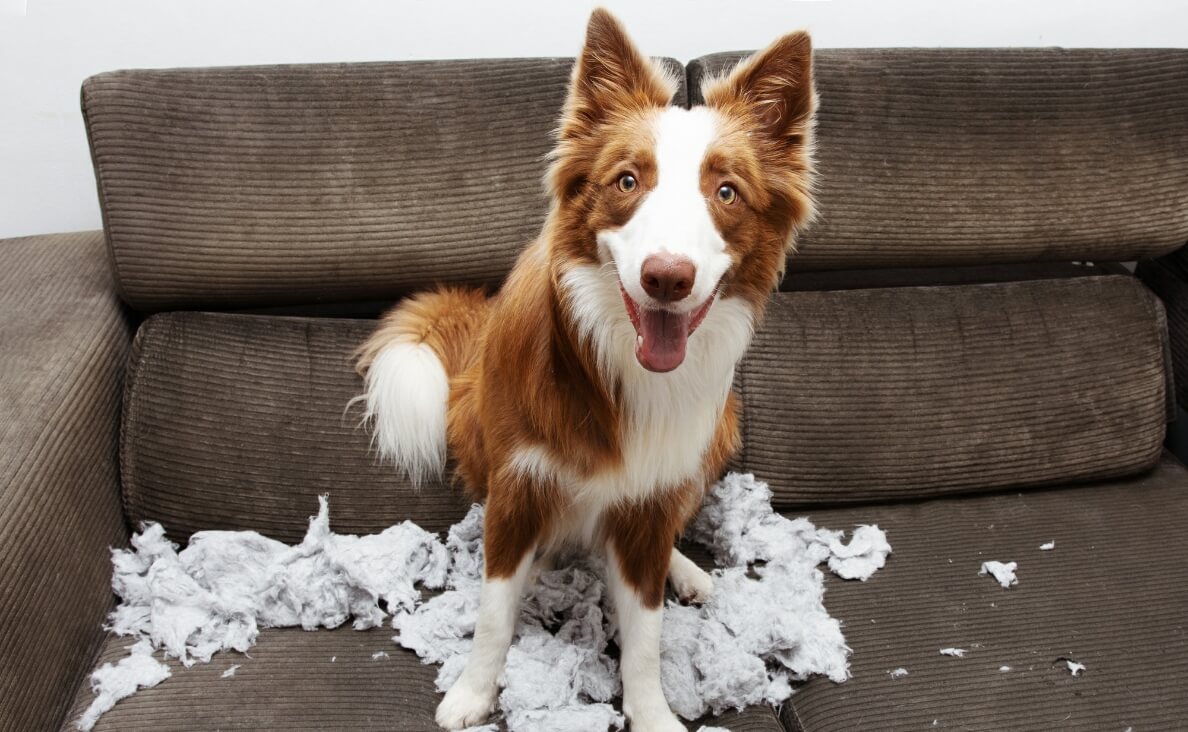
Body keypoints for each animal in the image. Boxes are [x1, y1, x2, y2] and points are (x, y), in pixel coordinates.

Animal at [354, 8, 817, 727]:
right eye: (628, 181)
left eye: (727, 192)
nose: (666, 278)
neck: (619, 365)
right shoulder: (518, 486)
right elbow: (493, 614)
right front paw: (472, 694)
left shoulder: (648, 501)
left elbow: (646, 637)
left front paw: (652, 713)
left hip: (716, 434)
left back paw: (685, 570)